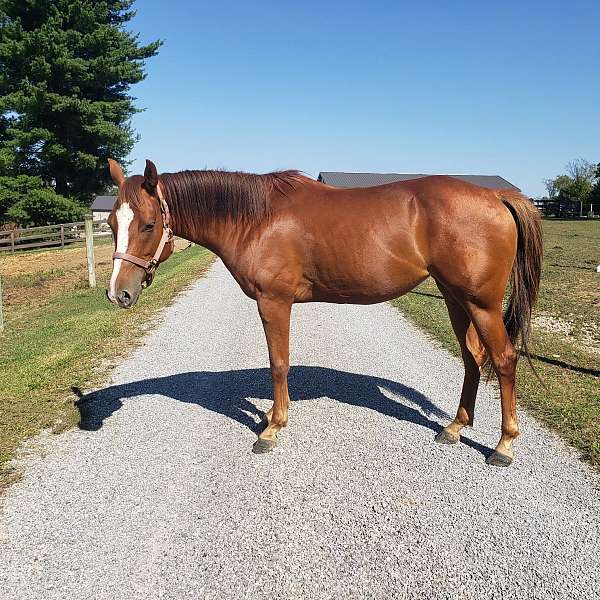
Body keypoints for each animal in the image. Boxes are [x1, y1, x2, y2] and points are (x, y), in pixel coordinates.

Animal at [105, 161, 540, 468]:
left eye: (148, 224)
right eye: (110, 223)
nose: (117, 293)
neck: (256, 219)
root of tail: (496, 195)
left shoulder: (274, 302)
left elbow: (278, 363)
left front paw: (272, 428)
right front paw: (270, 415)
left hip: (481, 304)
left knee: (503, 359)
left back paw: (503, 446)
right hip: (455, 298)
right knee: (472, 358)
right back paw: (454, 427)